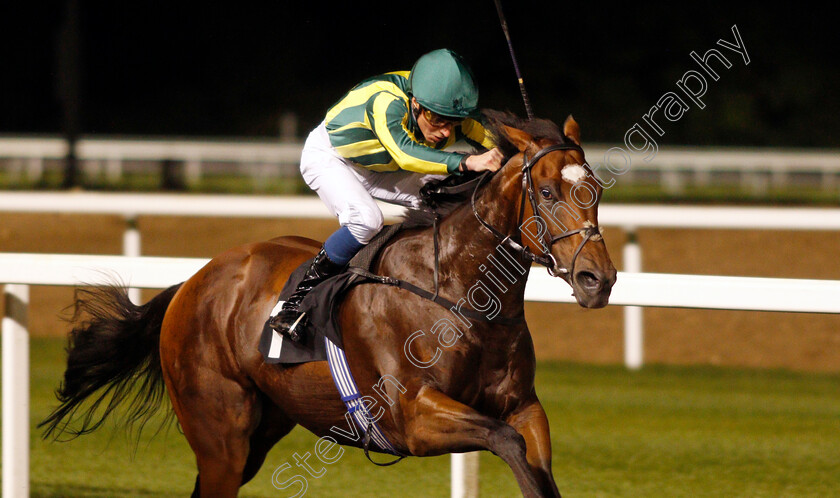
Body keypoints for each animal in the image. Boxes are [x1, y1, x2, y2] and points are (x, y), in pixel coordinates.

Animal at [39, 111, 616, 496]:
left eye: (596, 189)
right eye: (546, 193)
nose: (599, 279)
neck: (461, 294)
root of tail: (193, 281)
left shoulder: (524, 405)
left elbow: (532, 457)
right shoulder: (412, 417)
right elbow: (506, 442)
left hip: (262, 427)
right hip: (219, 432)